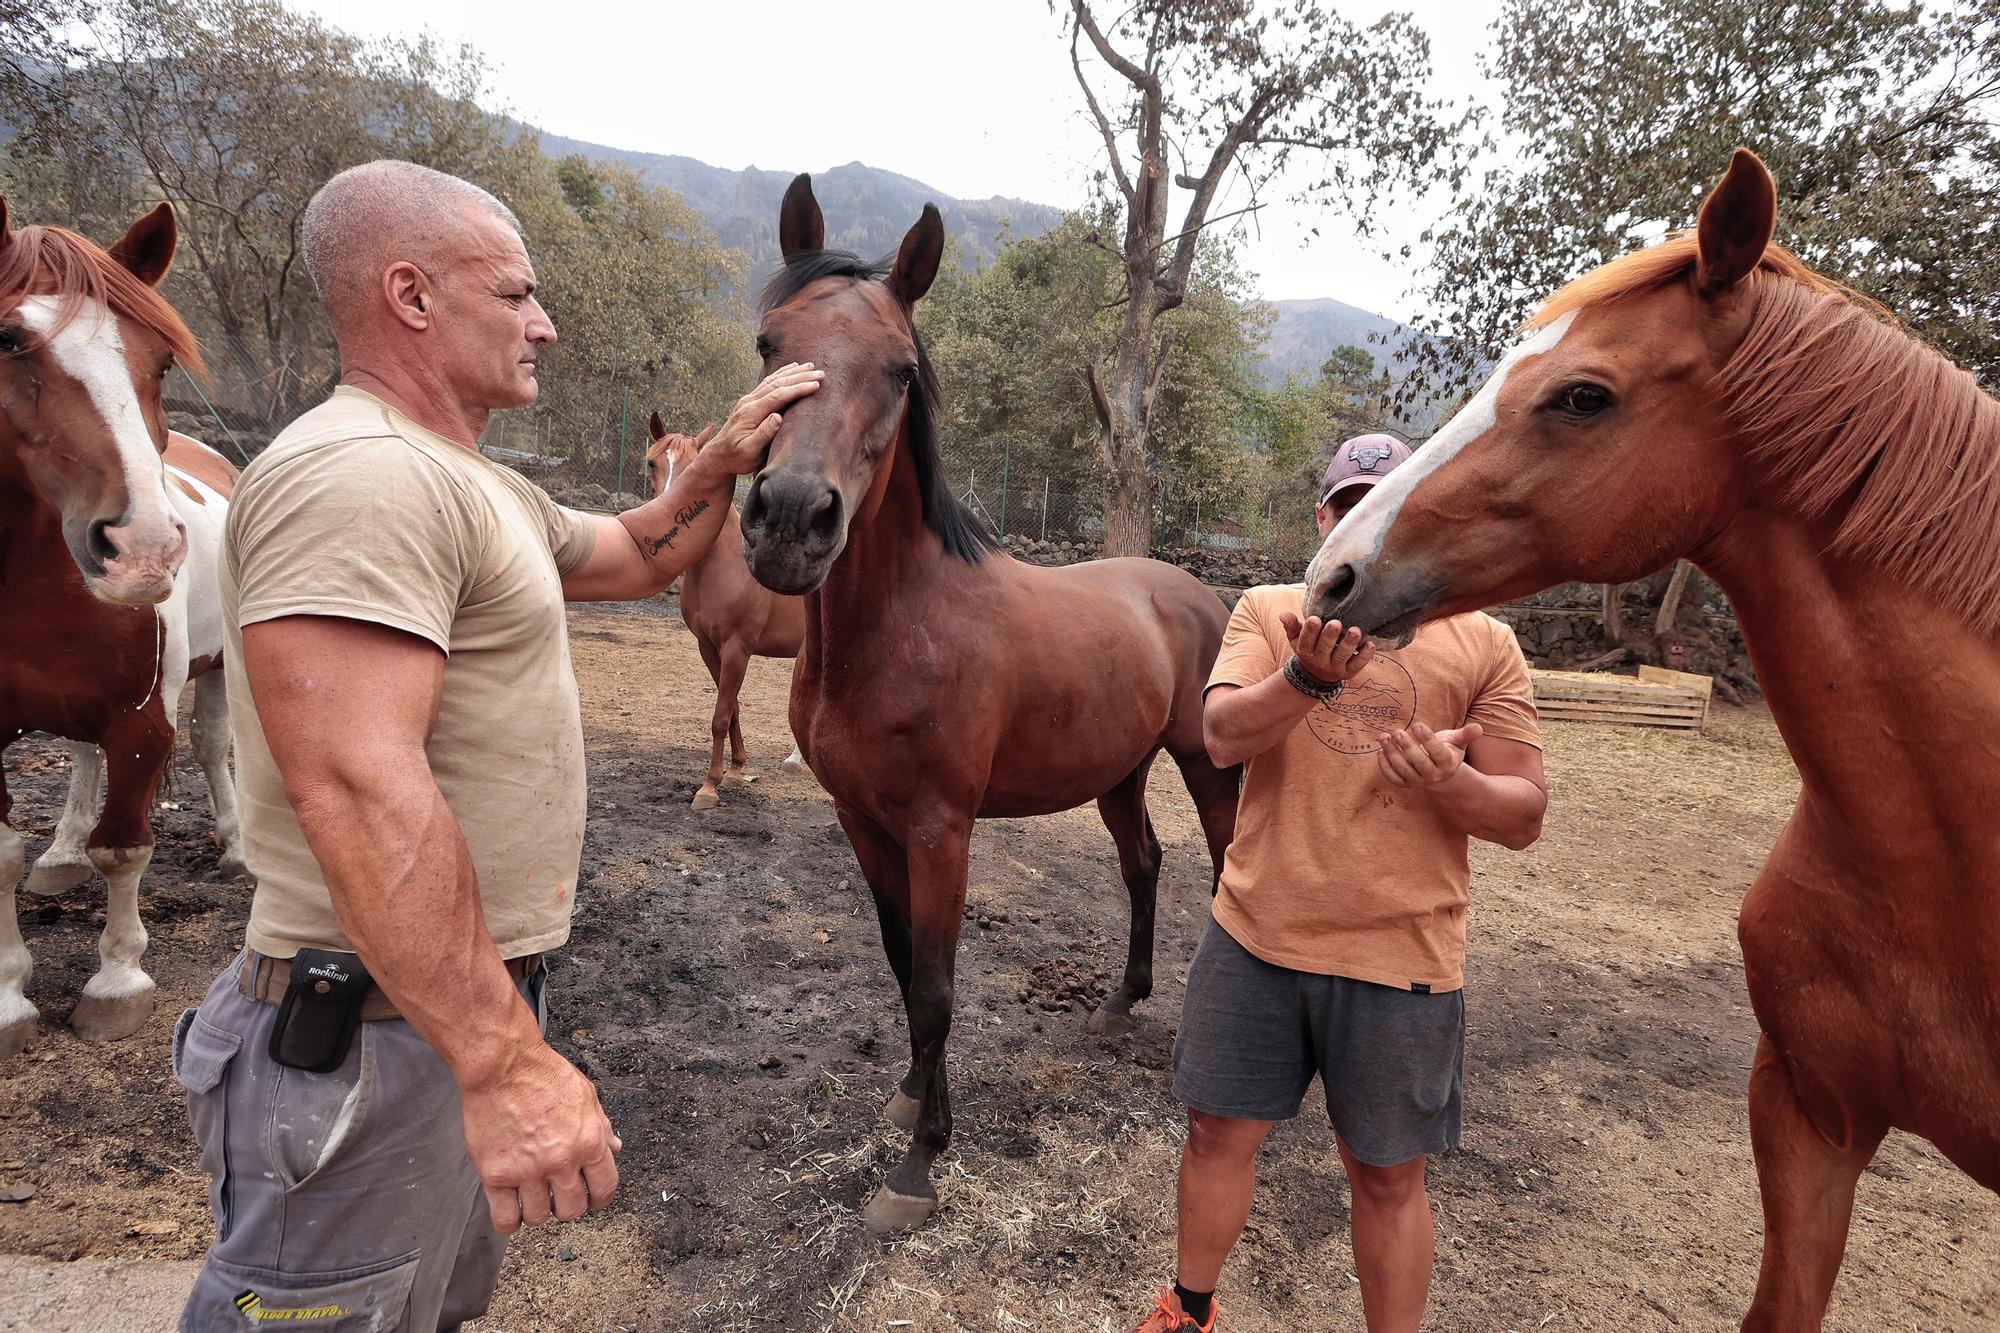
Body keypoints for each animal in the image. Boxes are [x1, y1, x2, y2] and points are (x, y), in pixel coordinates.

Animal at [0, 195, 248, 1056]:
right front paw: (9, 996)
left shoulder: (142, 720)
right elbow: (2, 853)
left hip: (217, 668)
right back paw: (62, 851)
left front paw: (117, 981)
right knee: (78, 755)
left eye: (162, 361)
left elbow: (126, 847)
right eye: (7, 338)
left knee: (212, 745)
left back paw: (235, 842)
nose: (141, 549)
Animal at [636, 412, 800, 808]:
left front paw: (709, 786)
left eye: (696, 463)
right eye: (651, 462)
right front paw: (737, 769)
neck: (725, 562)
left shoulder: (737, 648)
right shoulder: (708, 647)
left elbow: (720, 715)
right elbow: (733, 708)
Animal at [736, 174, 1232, 1224]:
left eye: (899, 370)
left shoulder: (940, 829)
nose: (791, 519)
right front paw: (910, 1097)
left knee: (1217, 874)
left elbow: (935, 987)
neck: (901, 628)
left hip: (1207, 767)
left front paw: (919, 1165)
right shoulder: (862, 820)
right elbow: (899, 964)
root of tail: (1197, 590)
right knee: (1143, 864)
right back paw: (1118, 1002)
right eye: (769, 343)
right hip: (1120, 773)